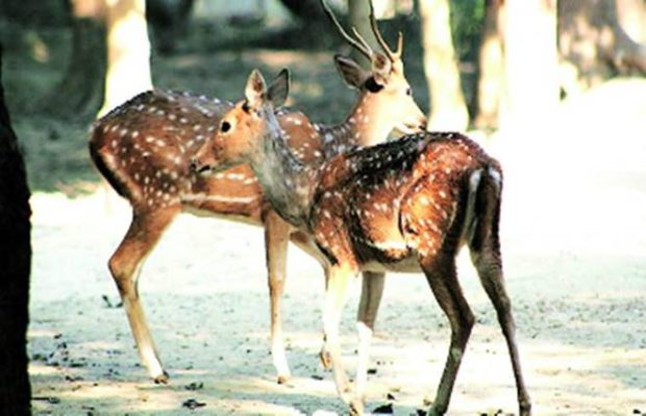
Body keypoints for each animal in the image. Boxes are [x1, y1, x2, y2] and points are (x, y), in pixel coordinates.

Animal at [88, 0, 426, 386]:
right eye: (407, 90)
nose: (422, 121)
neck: (332, 144)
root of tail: (95, 133)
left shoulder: (302, 228)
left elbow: (328, 267)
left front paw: (325, 355)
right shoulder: (274, 216)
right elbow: (277, 280)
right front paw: (283, 368)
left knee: (133, 269)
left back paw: (160, 359)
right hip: (157, 196)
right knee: (121, 263)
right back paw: (156, 368)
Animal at [190, 69, 531, 416]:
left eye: (225, 124)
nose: (195, 161)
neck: (305, 195)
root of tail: (484, 168)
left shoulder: (343, 257)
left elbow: (330, 316)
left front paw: (348, 395)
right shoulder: (375, 264)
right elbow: (365, 322)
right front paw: (360, 398)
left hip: (431, 241)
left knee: (464, 316)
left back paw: (437, 404)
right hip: (487, 239)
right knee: (505, 307)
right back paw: (524, 403)